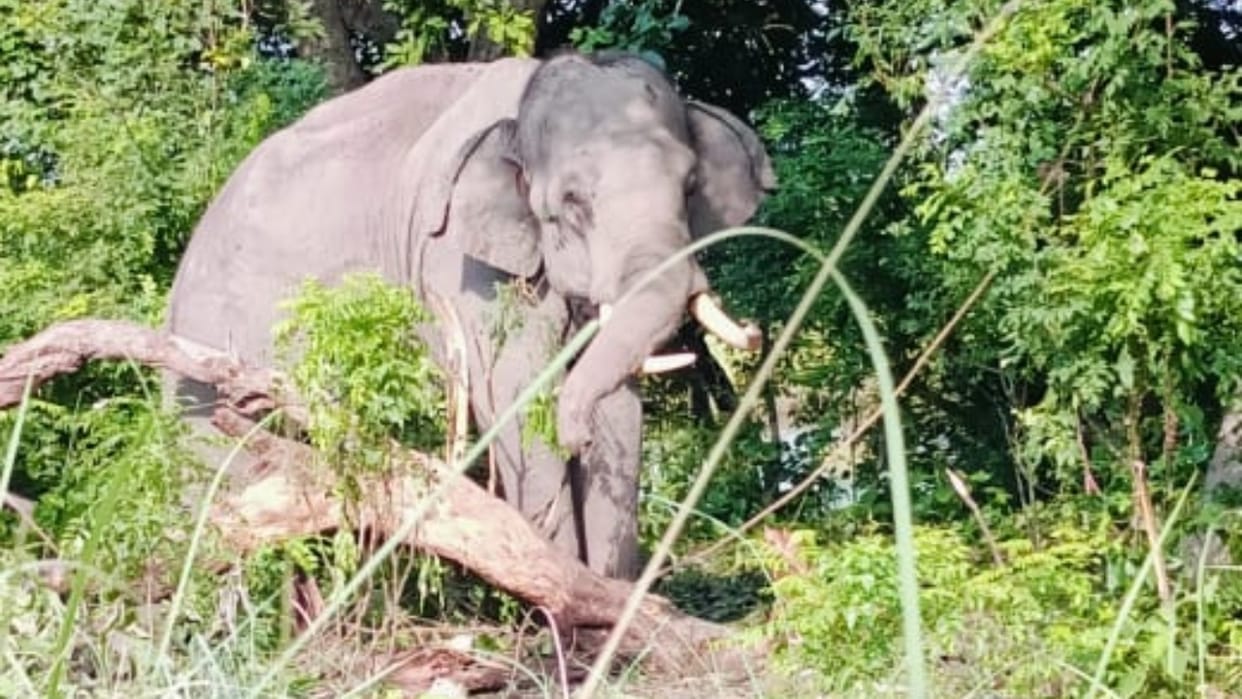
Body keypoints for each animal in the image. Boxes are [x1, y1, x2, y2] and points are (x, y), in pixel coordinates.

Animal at [166, 51, 775, 579]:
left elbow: (618, 406)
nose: (574, 440)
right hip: (208, 344)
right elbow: (514, 387)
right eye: (571, 203)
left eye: (690, 186)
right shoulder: (455, 260)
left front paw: (614, 597)